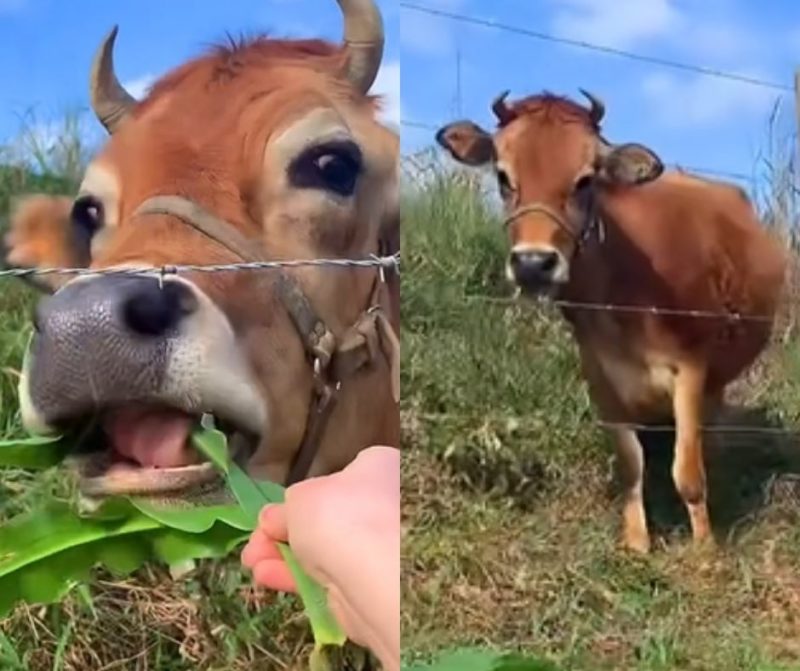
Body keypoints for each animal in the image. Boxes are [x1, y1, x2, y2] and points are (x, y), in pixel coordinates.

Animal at [436, 90, 786, 553]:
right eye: (503, 177)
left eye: (586, 180)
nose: (533, 264)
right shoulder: (599, 375)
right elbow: (631, 465)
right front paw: (636, 544)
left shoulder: (691, 368)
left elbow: (688, 473)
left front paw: (704, 551)